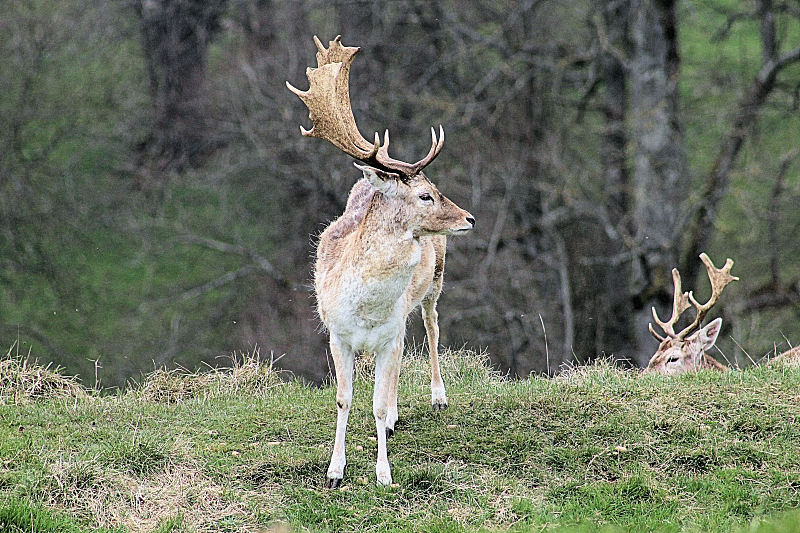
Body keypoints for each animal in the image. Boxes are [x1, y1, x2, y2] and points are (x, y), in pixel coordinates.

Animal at [288, 36, 476, 486]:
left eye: (437, 188)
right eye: (425, 195)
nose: (469, 218)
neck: (367, 310)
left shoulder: (388, 335)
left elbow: (374, 403)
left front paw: (383, 474)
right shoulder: (337, 335)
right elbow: (343, 399)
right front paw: (335, 471)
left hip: (435, 282)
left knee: (430, 326)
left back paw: (435, 397)